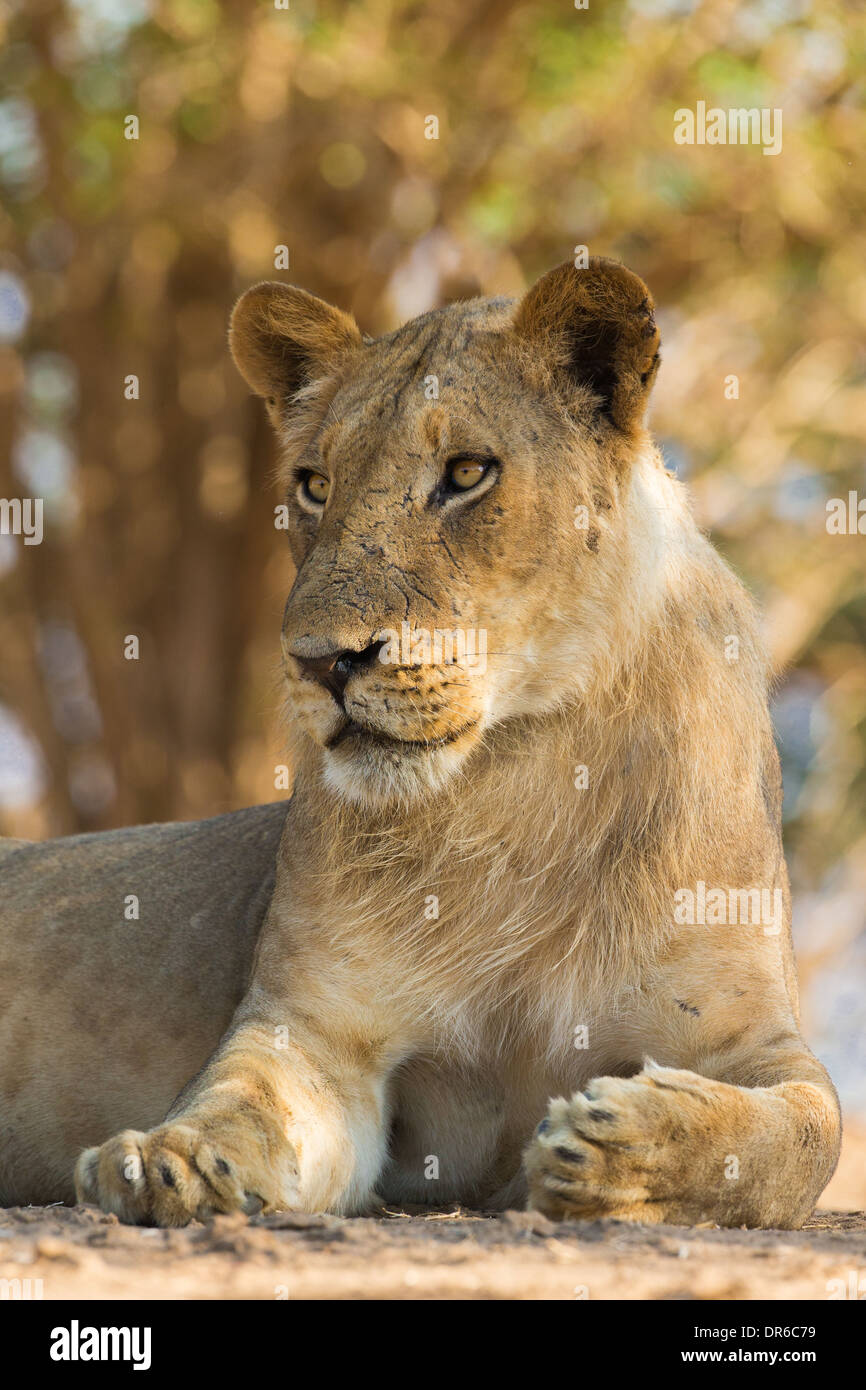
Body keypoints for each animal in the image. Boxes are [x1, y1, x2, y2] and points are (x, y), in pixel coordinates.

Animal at [0, 258, 840, 1229]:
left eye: (467, 472)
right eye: (314, 484)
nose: (322, 661)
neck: (522, 773)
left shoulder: (754, 1034)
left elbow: (798, 1136)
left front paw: (622, 1146)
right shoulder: (319, 1031)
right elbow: (243, 1098)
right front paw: (169, 1159)